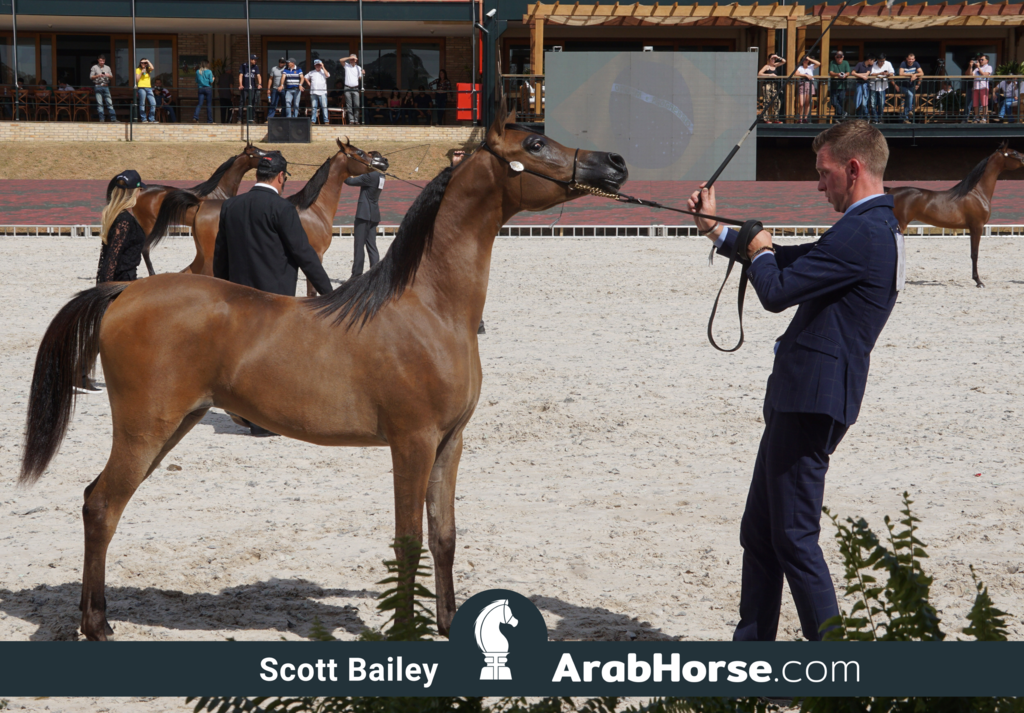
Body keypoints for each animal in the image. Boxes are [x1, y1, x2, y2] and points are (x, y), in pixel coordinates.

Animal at [114, 143, 266, 277]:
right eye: (257, 153)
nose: (271, 154)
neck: (219, 190)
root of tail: (140, 191)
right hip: (149, 225)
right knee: (145, 249)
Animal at [146, 138, 388, 294]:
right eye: (359, 153)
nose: (383, 162)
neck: (314, 208)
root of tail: (200, 204)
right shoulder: (315, 256)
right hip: (209, 259)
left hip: (202, 256)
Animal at [887, 142, 1024, 287]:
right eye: (1014, 153)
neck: (977, 192)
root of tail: (891, 190)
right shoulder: (977, 227)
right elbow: (974, 254)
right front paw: (978, 281)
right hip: (900, 225)